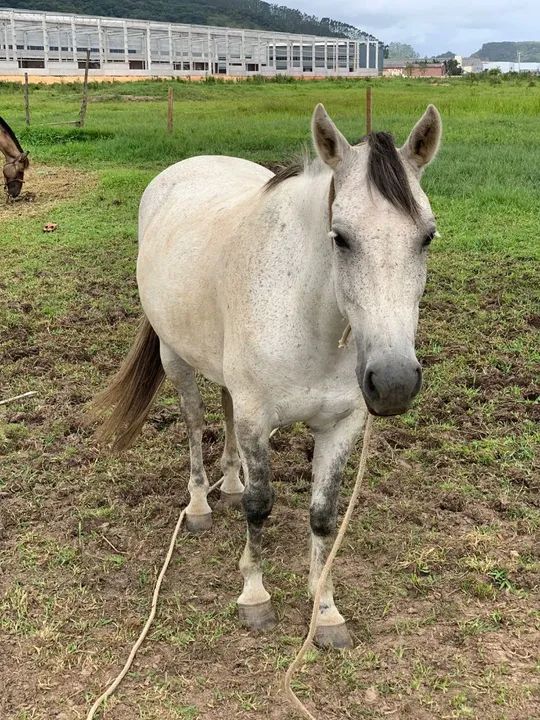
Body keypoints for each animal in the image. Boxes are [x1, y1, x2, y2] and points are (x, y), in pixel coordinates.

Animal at [94, 103, 442, 649]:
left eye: (426, 236)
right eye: (340, 238)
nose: (393, 382)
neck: (308, 316)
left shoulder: (341, 425)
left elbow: (323, 514)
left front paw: (325, 609)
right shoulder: (258, 417)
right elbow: (261, 505)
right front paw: (255, 595)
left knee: (224, 413)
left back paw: (230, 483)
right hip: (177, 360)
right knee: (195, 422)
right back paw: (201, 504)